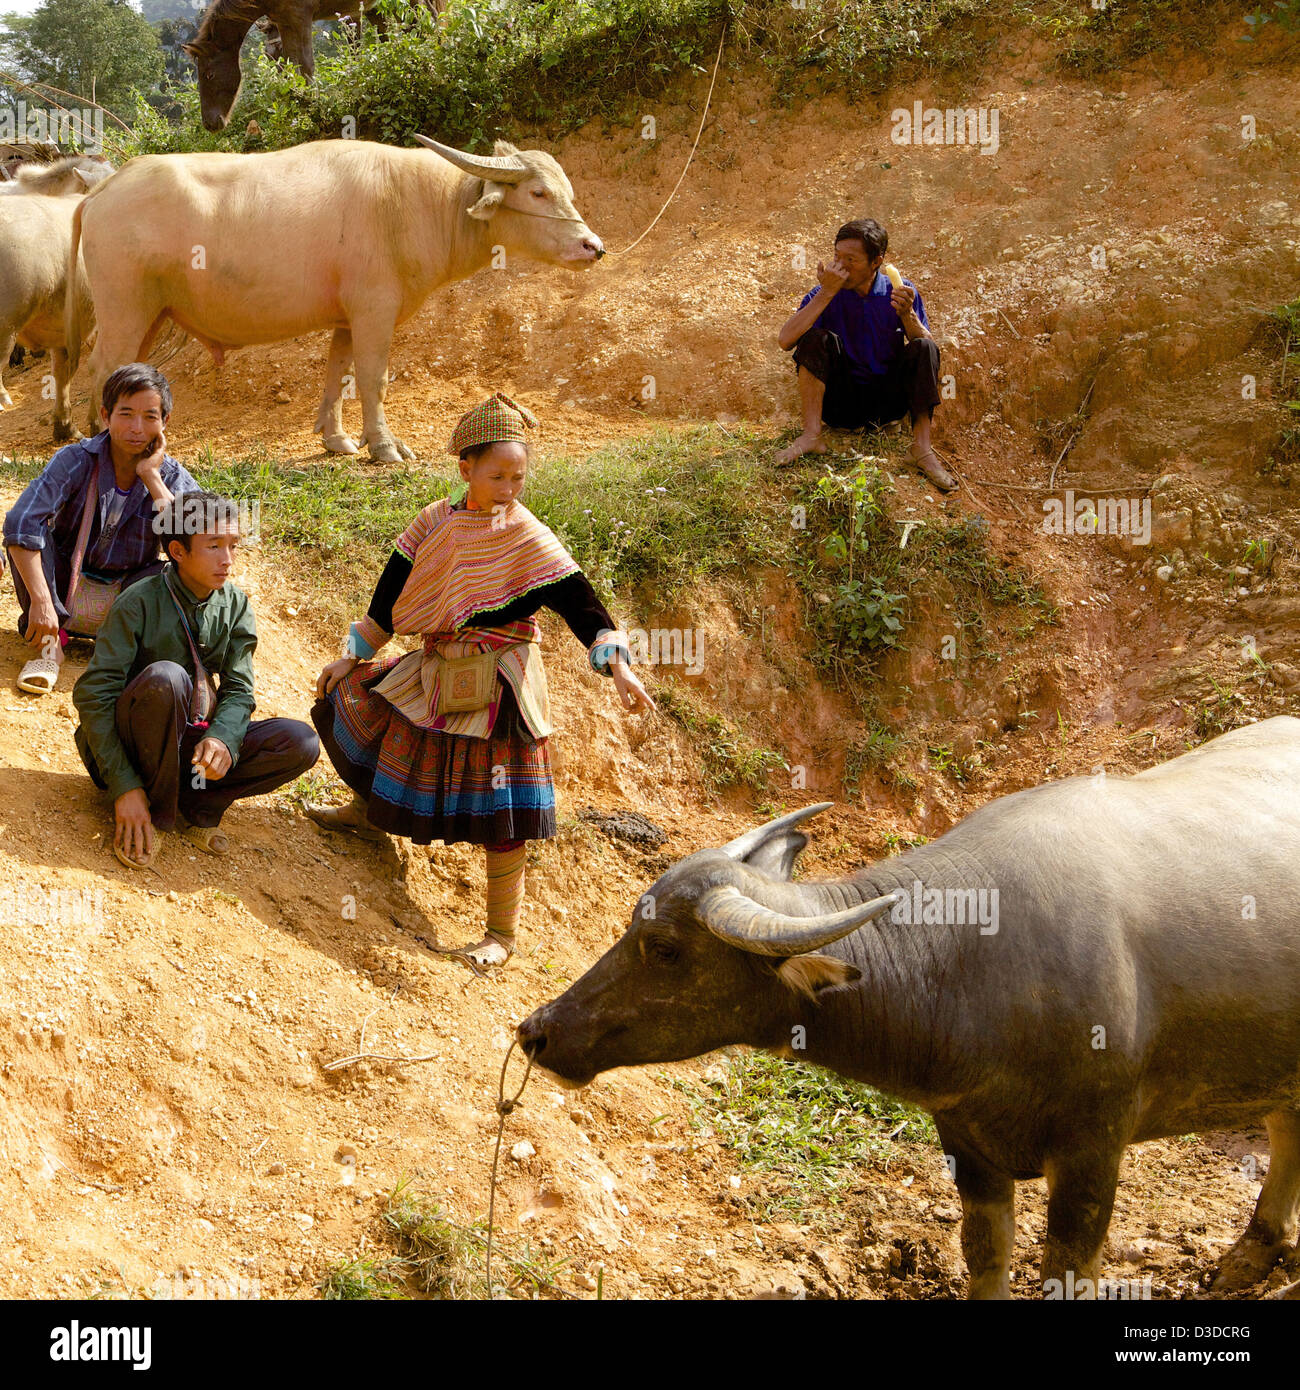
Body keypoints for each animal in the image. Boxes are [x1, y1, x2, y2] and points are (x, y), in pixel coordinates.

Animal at [67, 136, 606, 464]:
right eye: (537, 193)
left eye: (566, 190)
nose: (593, 247)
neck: (414, 204)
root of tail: (102, 191)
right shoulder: (375, 310)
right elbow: (373, 378)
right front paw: (385, 447)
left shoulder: (348, 318)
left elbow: (338, 374)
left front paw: (338, 439)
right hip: (125, 308)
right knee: (105, 365)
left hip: (152, 313)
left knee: (123, 369)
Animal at [180, 0, 447, 131]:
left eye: (209, 74)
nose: (209, 124)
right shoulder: (286, 20)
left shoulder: (300, 17)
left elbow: (306, 67)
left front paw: (313, 112)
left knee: (427, 17)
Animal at [522, 722, 1300, 1295]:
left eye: (664, 948)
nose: (537, 1031)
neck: (971, 965)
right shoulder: (967, 1143)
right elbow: (985, 1257)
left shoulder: (1093, 1155)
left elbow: (1065, 1274)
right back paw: (1253, 1253)